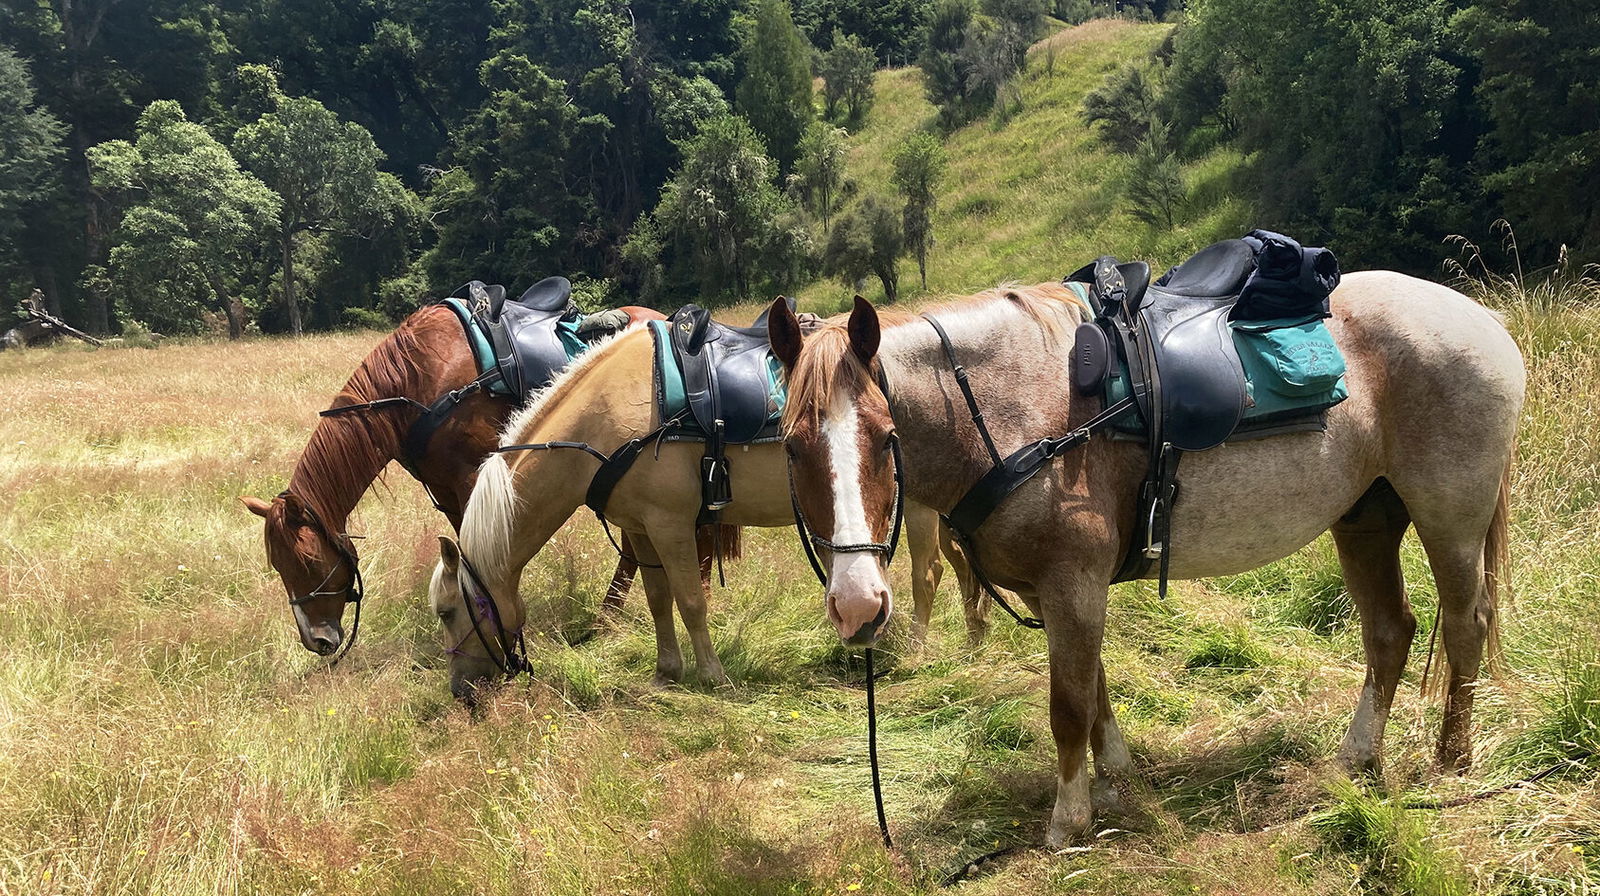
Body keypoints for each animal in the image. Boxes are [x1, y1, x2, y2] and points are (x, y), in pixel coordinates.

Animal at [240, 299, 733, 658]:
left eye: (307, 562)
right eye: (277, 565)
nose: (317, 641)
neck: (420, 382)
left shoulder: (474, 478)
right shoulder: (448, 491)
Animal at [426, 323, 969, 702]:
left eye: (448, 611)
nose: (462, 692)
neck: (605, 419)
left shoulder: (670, 526)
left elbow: (690, 600)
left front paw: (711, 674)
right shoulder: (640, 530)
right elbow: (657, 599)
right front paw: (667, 670)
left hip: (913, 502)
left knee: (927, 572)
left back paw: (915, 651)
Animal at [765, 274, 1524, 846]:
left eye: (885, 435)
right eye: (792, 446)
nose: (859, 605)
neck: (1011, 409)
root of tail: (1484, 322)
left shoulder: (1072, 585)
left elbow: (1068, 703)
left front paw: (1069, 820)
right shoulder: (1055, 592)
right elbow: (1095, 689)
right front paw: (1116, 776)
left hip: (1449, 519)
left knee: (1466, 625)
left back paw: (1451, 761)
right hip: (1366, 519)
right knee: (1390, 632)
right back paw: (1356, 758)